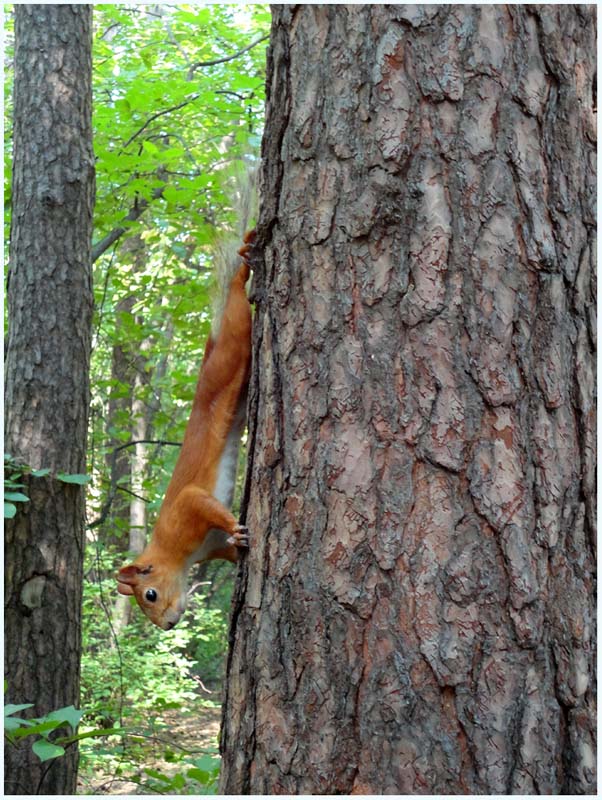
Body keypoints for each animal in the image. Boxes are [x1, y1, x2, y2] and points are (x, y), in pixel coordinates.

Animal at [117, 220, 255, 632]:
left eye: (149, 594)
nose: (166, 625)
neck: (172, 551)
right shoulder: (211, 547)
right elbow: (228, 551)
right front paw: (237, 545)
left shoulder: (185, 510)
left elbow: (201, 500)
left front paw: (236, 525)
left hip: (233, 343)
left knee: (238, 305)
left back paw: (242, 273)